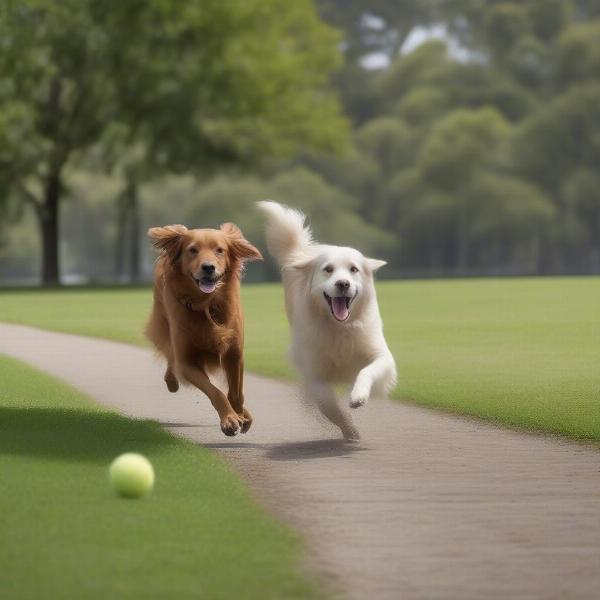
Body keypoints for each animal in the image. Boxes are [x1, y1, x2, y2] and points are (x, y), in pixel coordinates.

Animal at [145, 221, 262, 436]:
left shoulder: (234, 354)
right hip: (165, 324)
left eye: (220, 250)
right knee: (170, 356)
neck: (206, 303)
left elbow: (236, 393)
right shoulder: (187, 361)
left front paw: (241, 415)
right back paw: (171, 381)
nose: (208, 267)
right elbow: (215, 391)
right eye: (192, 250)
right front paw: (229, 419)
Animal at [255, 202, 396, 440]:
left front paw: (357, 397)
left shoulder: (381, 356)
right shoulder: (314, 372)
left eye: (354, 269)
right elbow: (327, 403)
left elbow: (366, 371)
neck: (338, 328)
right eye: (328, 269)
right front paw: (349, 429)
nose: (343, 284)